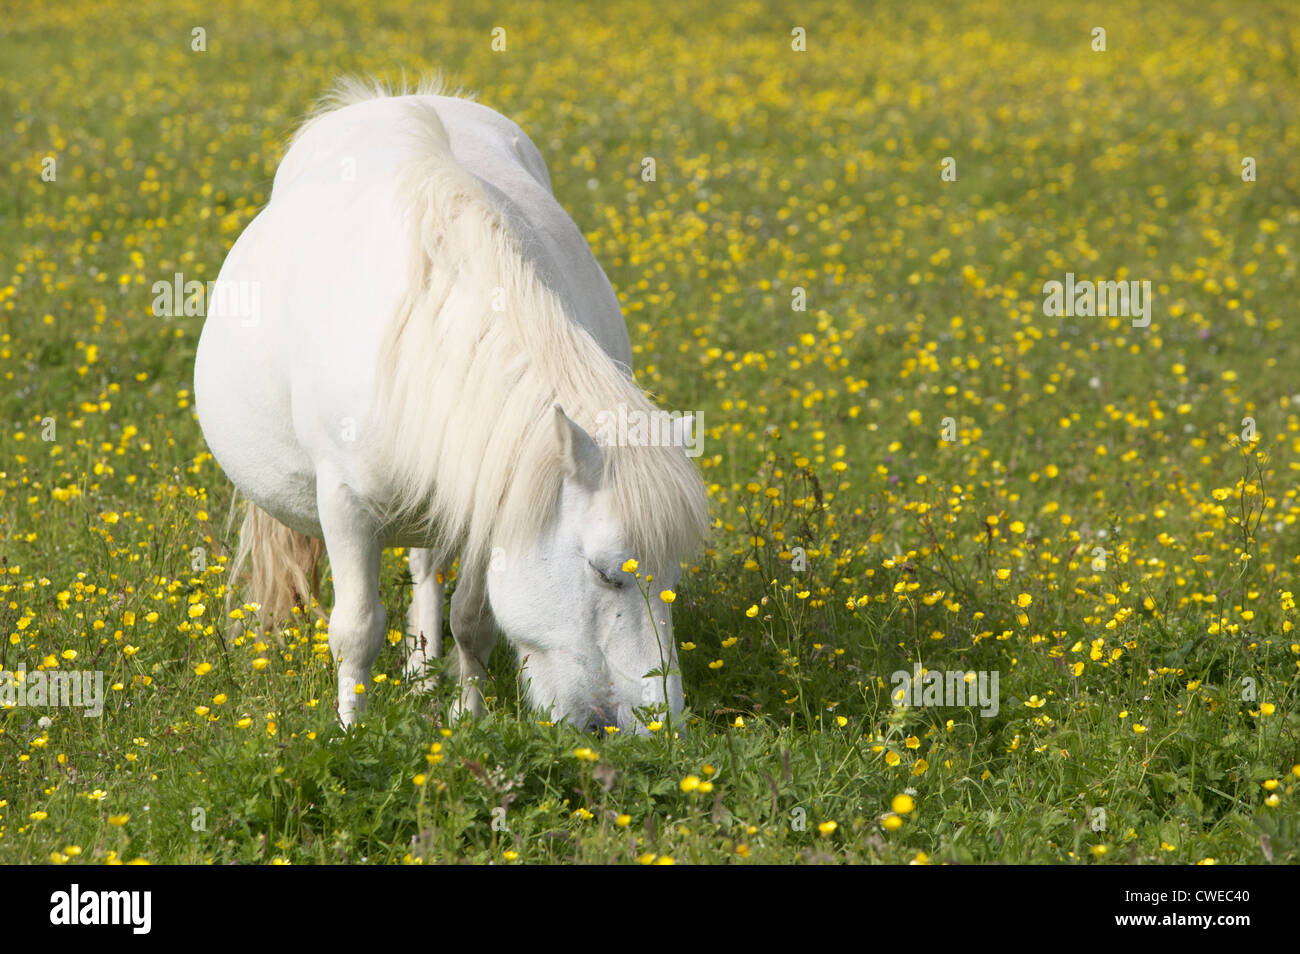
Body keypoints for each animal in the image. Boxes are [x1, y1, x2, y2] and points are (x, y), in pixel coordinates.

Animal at [195, 80, 712, 733]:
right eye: (604, 571)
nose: (664, 730)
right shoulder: (343, 505)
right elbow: (356, 629)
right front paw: (350, 731)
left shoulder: (490, 495)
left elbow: (473, 619)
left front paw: (468, 718)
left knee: (425, 572)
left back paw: (421, 677)